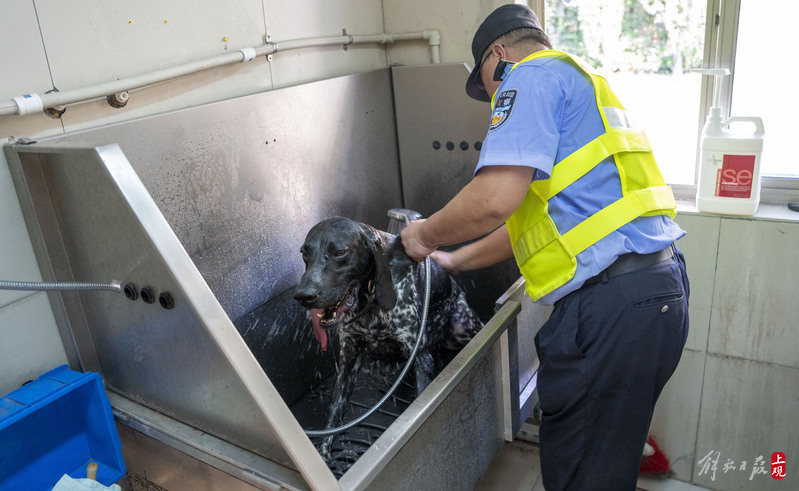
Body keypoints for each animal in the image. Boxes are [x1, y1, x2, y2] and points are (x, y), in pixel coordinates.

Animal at [294, 216, 482, 462]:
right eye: (304, 253)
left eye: (340, 252)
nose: (303, 295)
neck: (370, 300)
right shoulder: (348, 362)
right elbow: (333, 415)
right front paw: (323, 456)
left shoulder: (420, 358)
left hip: (462, 326)